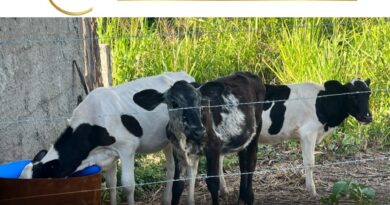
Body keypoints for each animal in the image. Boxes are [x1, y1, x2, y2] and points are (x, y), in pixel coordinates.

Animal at [19, 71, 194, 205]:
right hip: (166, 142)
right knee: (170, 168)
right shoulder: (108, 155)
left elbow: (128, 185)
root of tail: (184, 74)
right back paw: (166, 199)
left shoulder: (127, 148)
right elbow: (111, 185)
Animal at [134, 72, 266, 205]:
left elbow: (213, 183)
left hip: (256, 131)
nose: (199, 131)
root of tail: (249, 74)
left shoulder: (213, 148)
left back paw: (249, 197)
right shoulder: (178, 152)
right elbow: (177, 186)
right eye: (174, 104)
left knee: (251, 162)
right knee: (243, 163)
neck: (184, 138)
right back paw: (242, 197)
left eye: (199, 102)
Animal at [221, 77, 374, 196]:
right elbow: (309, 162)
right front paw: (312, 191)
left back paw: (224, 190)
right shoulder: (308, 133)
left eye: (368, 94)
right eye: (352, 95)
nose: (367, 117)